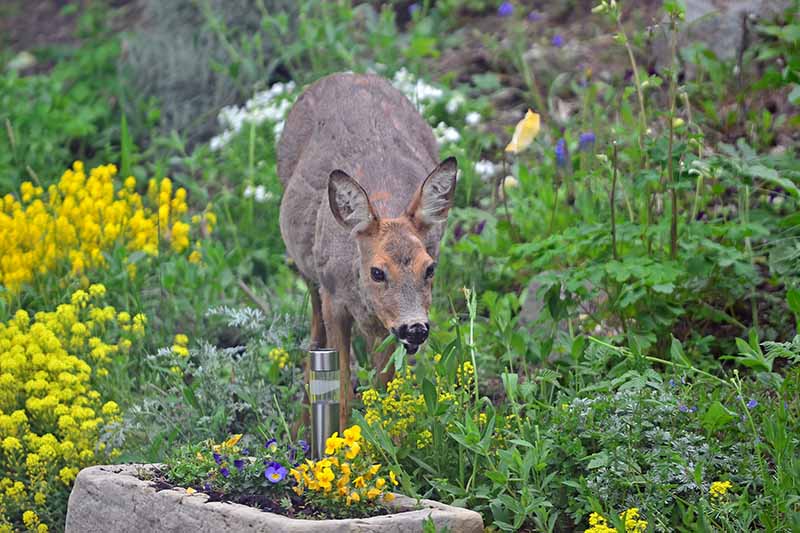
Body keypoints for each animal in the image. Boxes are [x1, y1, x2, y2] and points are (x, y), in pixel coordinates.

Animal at [280, 71, 456, 428]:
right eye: (377, 271)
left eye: (429, 268)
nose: (415, 328)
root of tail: (345, 74)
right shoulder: (334, 299)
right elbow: (341, 390)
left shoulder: (387, 327)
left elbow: (386, 388)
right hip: (310, 274)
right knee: (314, 334)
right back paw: (300, 425)